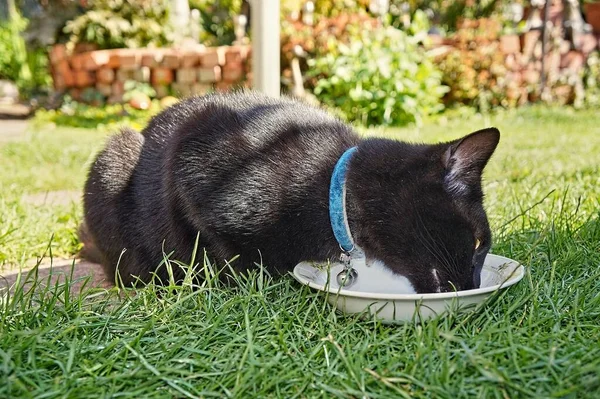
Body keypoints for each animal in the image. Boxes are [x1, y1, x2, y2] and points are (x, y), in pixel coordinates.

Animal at [82, 93, 500, 294]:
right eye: (480, 242)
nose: (475, 284)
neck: (332, 187)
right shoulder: (190, 155)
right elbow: (221, 250)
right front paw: (237, 279)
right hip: (115, 155)